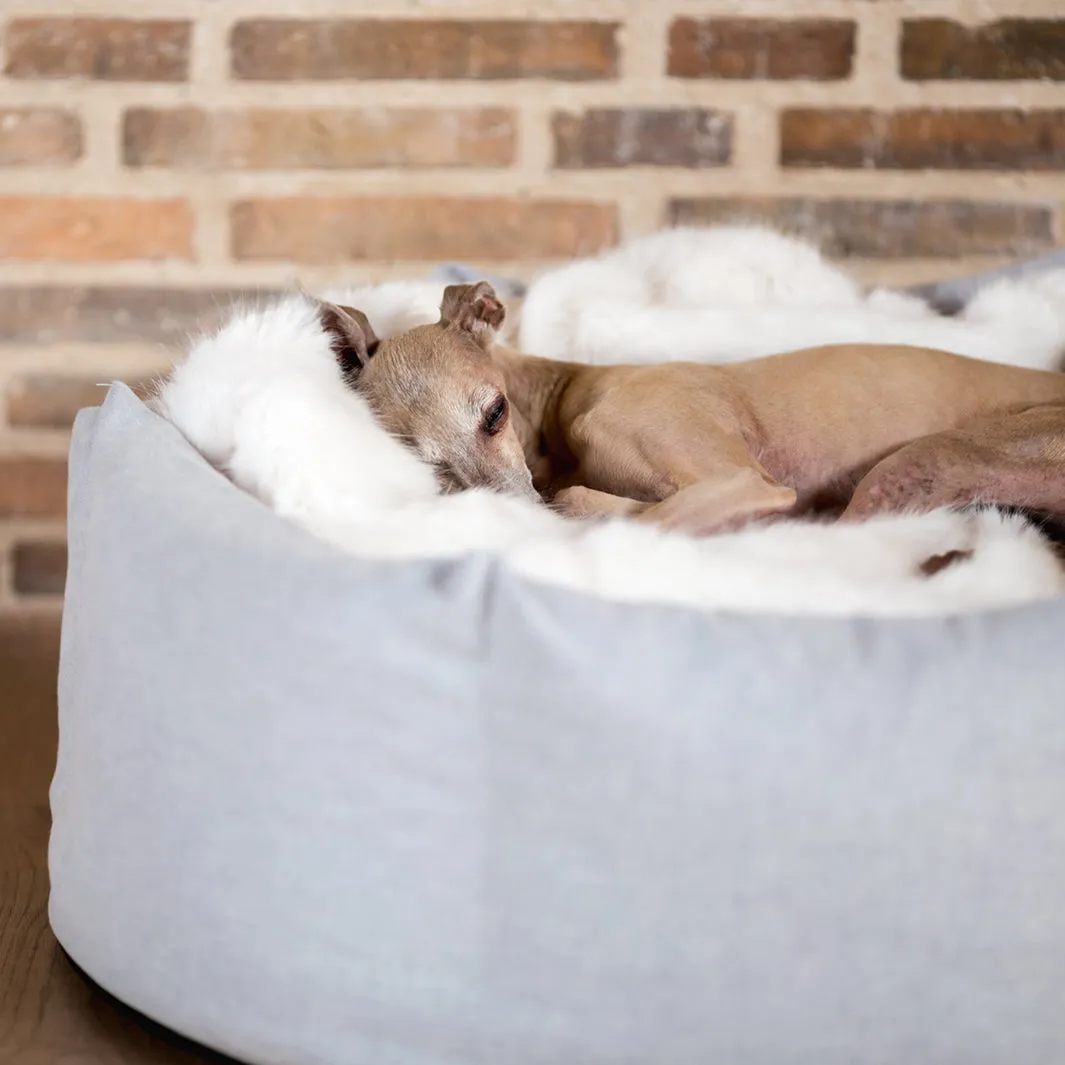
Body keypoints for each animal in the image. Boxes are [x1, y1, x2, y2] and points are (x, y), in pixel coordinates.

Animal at [317, 283, 1065, 536]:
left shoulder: (740, 480)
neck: (561, 400)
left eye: (494, 413)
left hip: (923, 462)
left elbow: (590, 505)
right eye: (426, 464)